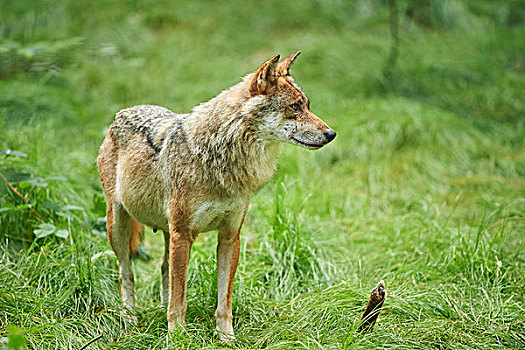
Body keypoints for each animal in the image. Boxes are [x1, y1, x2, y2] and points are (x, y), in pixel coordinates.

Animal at [97, 50, 336, 340]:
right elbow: (180, 299)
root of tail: (122, 112)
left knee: (164, 269)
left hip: (165, 231)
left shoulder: (230, 236)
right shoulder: (183, 234)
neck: (221, 159)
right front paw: (178, 337)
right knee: (126, 273)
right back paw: (129, 319)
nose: (331, 134)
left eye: (307, 105)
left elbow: (223, 299)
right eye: (295, 107)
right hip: (118, 226)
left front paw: (227, 338)